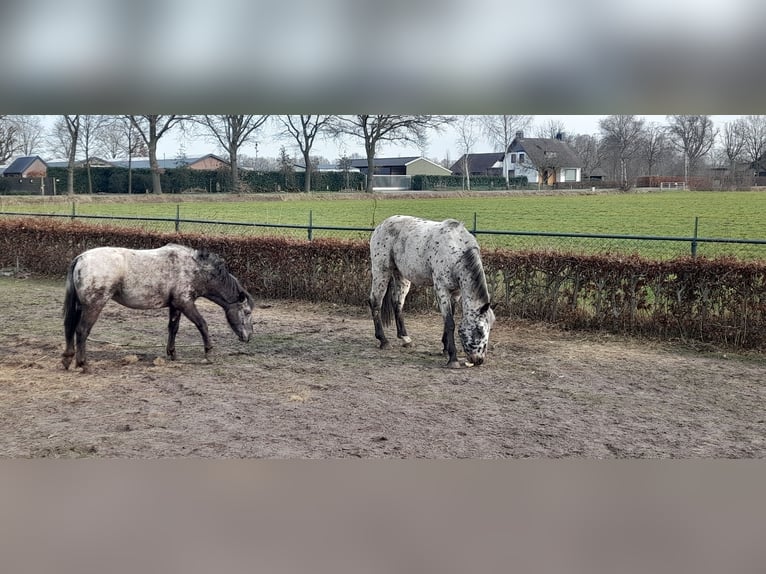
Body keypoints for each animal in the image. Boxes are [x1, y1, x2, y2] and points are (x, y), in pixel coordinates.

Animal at [62, 244, 255, 374]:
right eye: (247, 312)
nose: (248, 337)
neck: (194, 269)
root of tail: (81, 258)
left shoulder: (176, 306)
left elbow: (173, 328)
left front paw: (172, 354)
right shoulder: (185, 303)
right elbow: (202, 324)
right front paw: (208, 353)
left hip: (80, 306)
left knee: (70, 328)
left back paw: (68, 359)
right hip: (93, 306)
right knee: (81, 331)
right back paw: (83, 364)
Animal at [370, 216, 498, 368]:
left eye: (490, 329)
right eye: (478, 330)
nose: (478, 360)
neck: (456, 250)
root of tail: (381, 225)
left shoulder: (456, 293)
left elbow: (448, 320)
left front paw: (445, 349)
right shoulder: (441, 289)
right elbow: (450, 323)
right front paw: (453, 358)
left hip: (401, 276)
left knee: (397, 304)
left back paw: (405, 339)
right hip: (381, 271)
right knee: (375, 302)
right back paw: (383, 341)